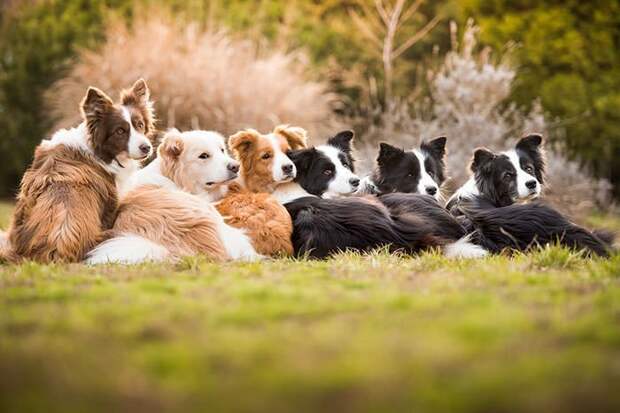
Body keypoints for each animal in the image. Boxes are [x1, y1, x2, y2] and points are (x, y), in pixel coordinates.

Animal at [2, 79, 154, 262]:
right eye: (120, 131)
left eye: (140, 125)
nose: (147, 148)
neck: (99, 151)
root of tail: (53, 249)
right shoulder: (110, 203)